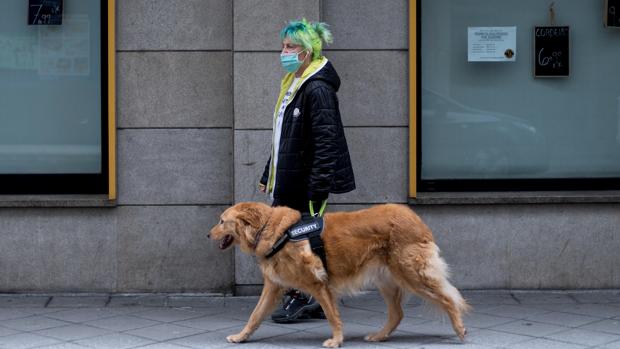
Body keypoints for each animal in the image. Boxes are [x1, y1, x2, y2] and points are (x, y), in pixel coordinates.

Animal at [208, 201, 470, 346]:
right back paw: (379, 336)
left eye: (221, 221)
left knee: (450, 298)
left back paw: (459, 329)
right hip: (386, 280)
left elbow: (332, 316)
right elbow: (254, 316)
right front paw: (241, 337)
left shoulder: (319, 284)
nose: (207, 235)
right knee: (397, 313)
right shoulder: (273, 286)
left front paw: (336, 340)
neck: (275, 231)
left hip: (412, 274)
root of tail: (414, 217)